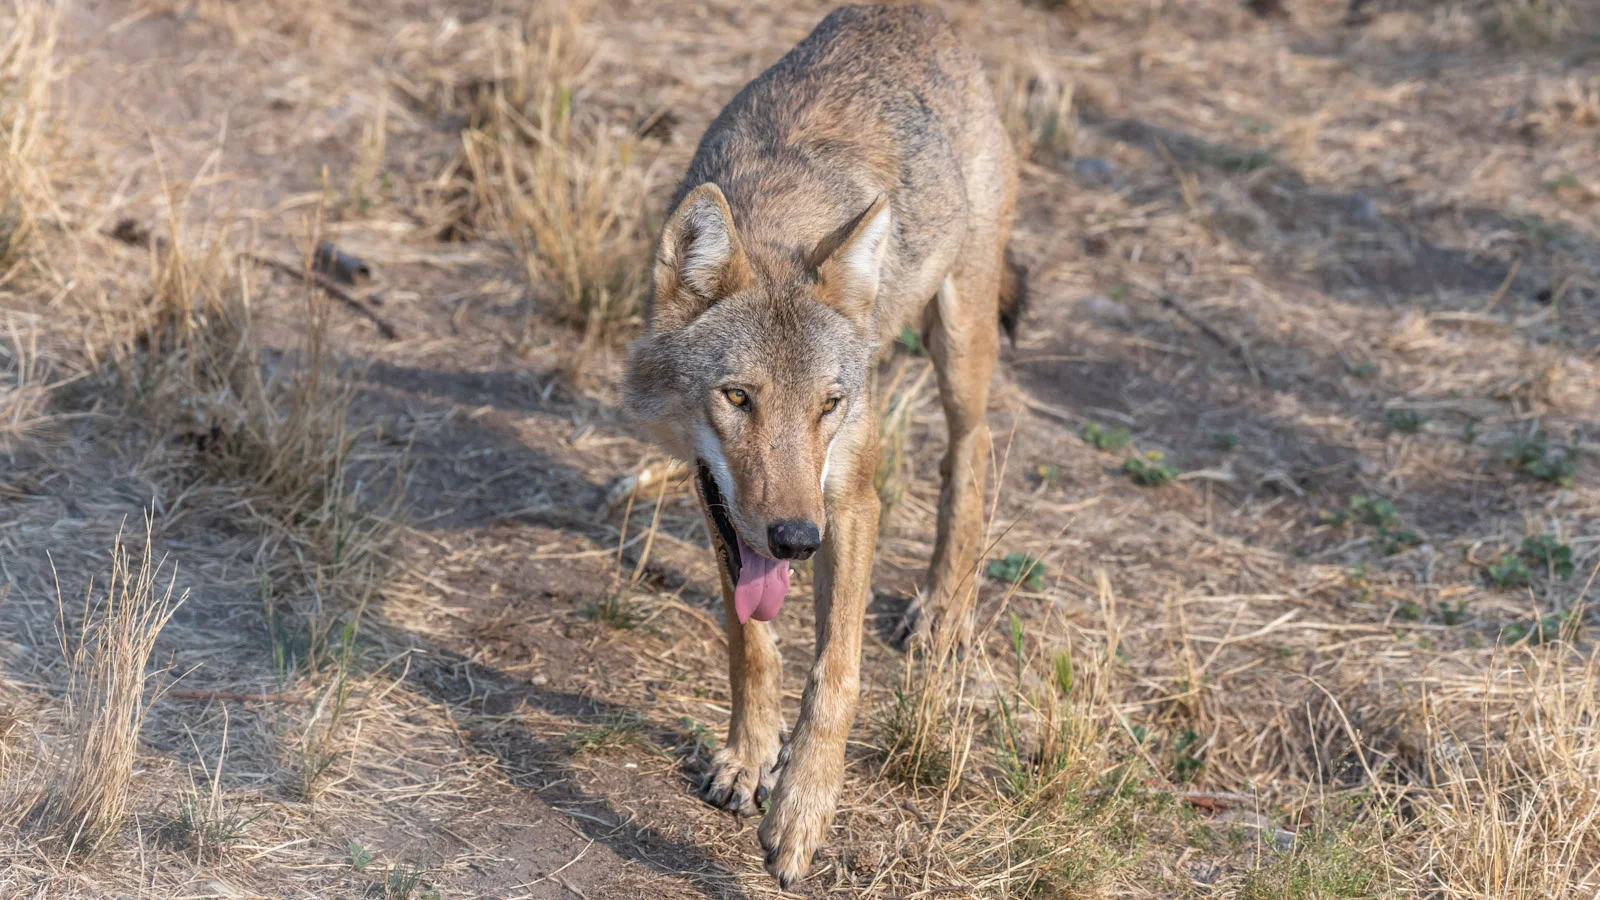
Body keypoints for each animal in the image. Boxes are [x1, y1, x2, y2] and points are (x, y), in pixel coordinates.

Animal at [617, 1, 1017, 883]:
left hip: (960, 336)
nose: (798, 541)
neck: (775, 221)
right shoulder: (722, 501)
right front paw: (747, 758)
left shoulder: (851, 502)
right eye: (738, 397)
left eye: (828, 405)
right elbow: (750, 641)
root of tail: (917, 13)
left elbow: (835, 671)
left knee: (971, 450)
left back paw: (944, 609)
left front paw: (801, 811)